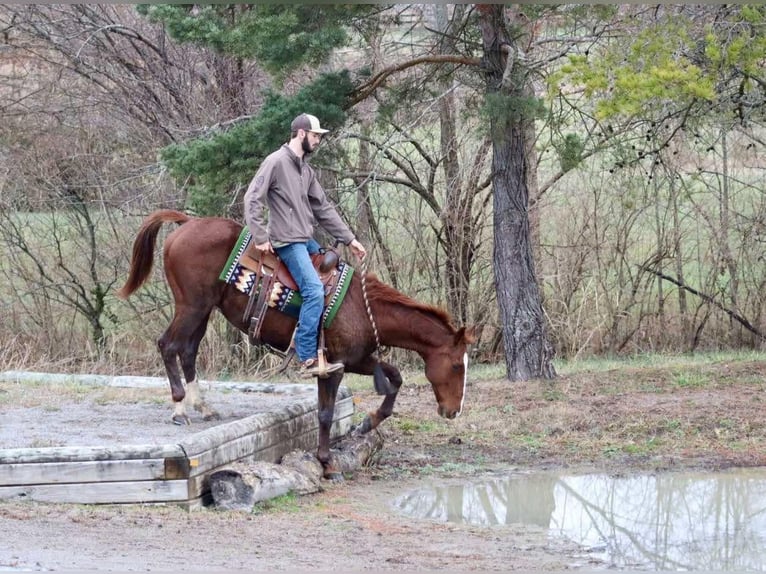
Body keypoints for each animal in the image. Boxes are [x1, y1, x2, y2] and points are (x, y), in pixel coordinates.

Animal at [117, 209, 476, 479]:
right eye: (456, 365)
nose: (453, 411)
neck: (361, 307)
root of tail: (188, 222)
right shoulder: (332, 367)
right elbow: (325, 413)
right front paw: (327, 463)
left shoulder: (354, 359)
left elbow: (395, 377)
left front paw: (367, 423)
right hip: (190, 305)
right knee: (168, 345)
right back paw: (179, 408)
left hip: (203, 310)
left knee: (188, 351)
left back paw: (203, 406)